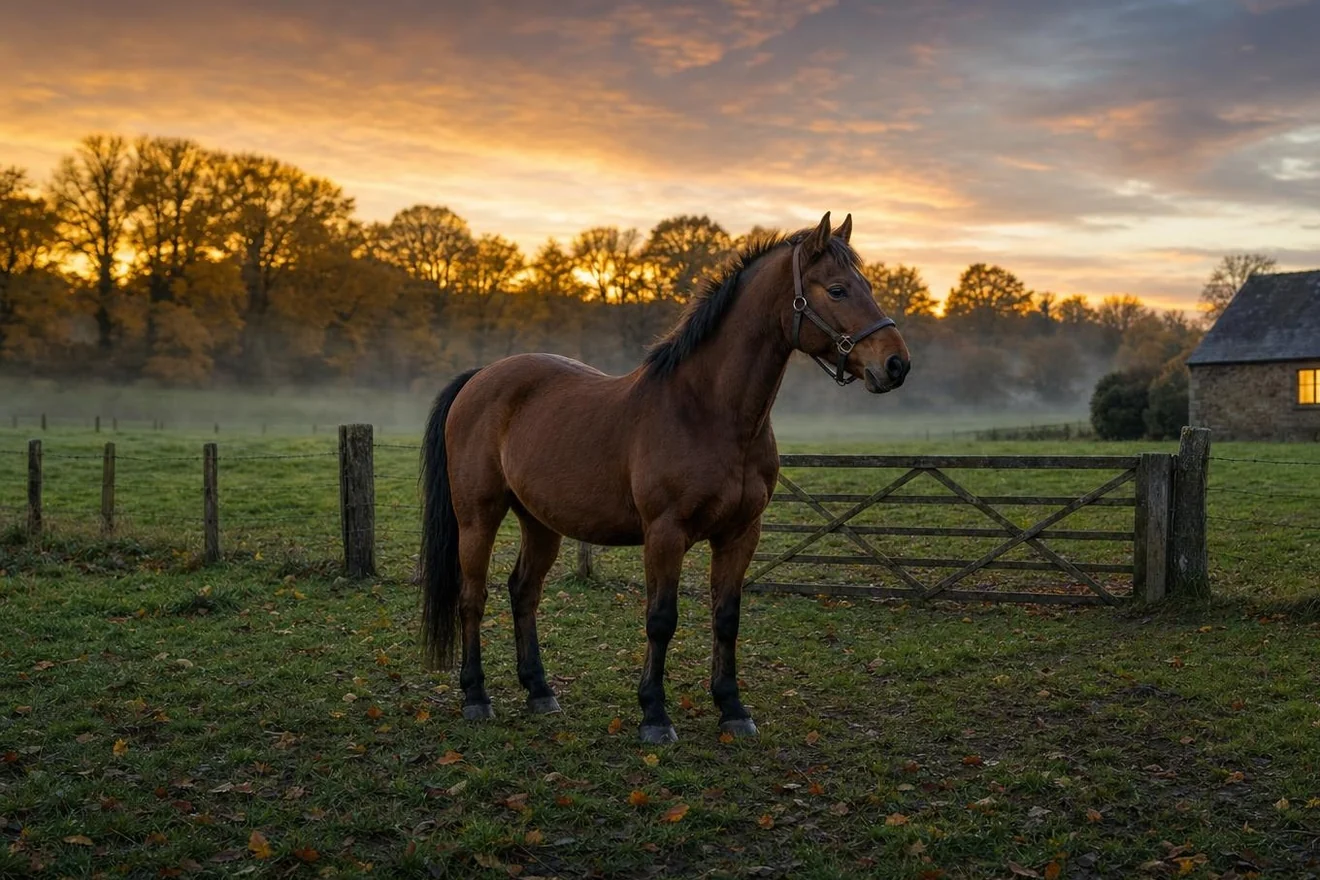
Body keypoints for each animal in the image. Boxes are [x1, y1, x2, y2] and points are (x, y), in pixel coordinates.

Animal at [419, 212, 910, 743]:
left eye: (868, 286)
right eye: (837, 290)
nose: (896, 364)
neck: (707, 412)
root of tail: (480, 377)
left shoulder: (741, 533)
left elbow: (726, 618)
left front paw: (732, 708)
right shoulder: (665, 533)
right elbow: (661, 619)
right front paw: (654, 714)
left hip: (541, 523)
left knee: (523, 591)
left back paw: (540, 692)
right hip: (478, 517)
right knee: (473, 597)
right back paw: (476, 696)